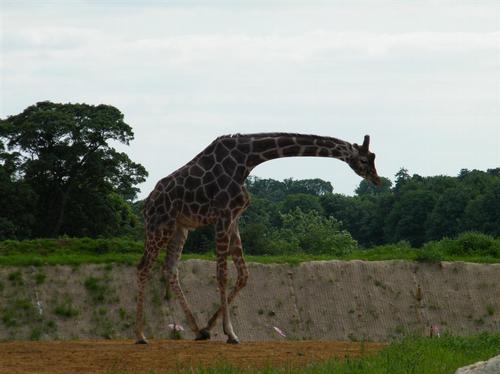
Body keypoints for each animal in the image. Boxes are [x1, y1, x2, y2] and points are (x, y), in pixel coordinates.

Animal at [135, 132, 380, 344]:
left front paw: (211, 328)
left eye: (373, 157)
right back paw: (141, 335)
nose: (378, 180)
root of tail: (146, 205)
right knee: (143, 267)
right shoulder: (223, 215)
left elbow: (244, 275)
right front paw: (230, 333)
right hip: (160, 225)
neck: (247, 159)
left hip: (180, 228)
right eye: (364, 159)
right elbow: (222, 275)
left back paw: (197, 330)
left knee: (170, 269)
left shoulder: (234, 218)